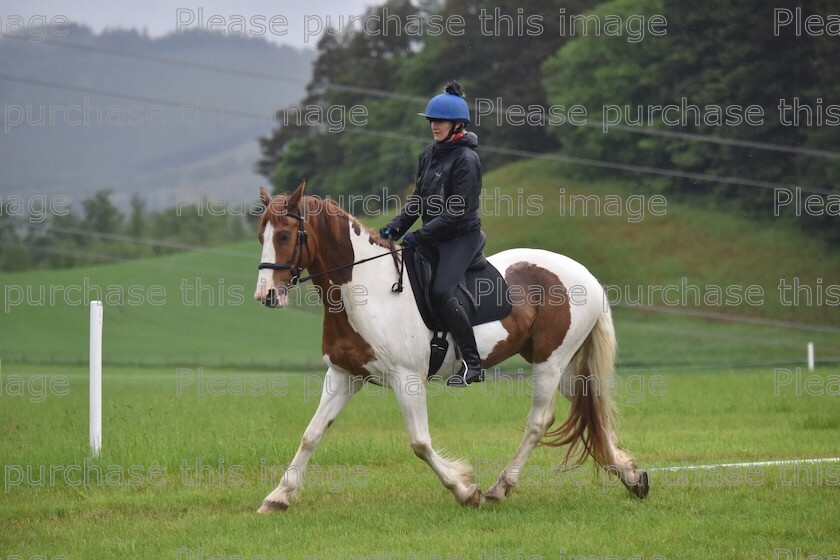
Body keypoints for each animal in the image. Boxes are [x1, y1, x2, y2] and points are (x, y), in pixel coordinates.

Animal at [249, 180, 648, 512]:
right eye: (260, 235)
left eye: (284, 235)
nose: (266, 295)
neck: (364, 291)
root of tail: (587, 276)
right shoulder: (344, 375)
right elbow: (311, 434)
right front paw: (278, 497)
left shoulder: (407, 379)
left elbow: (420, 442)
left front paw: (464, 490)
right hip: (558, 364)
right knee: (589, 404)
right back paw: (631, 477)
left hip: (550, 361)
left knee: (539, 421)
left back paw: (500, 488)